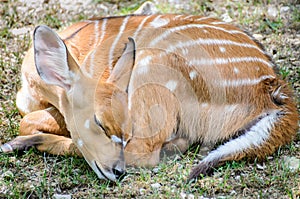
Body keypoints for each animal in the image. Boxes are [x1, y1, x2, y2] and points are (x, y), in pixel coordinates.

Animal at [1, 14, 298, 182]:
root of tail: (273, 87)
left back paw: (18, 144)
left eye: (120, 127)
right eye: (99, 123)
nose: (117, 171)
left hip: (149, 64)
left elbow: (29, 121)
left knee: (148, 152)